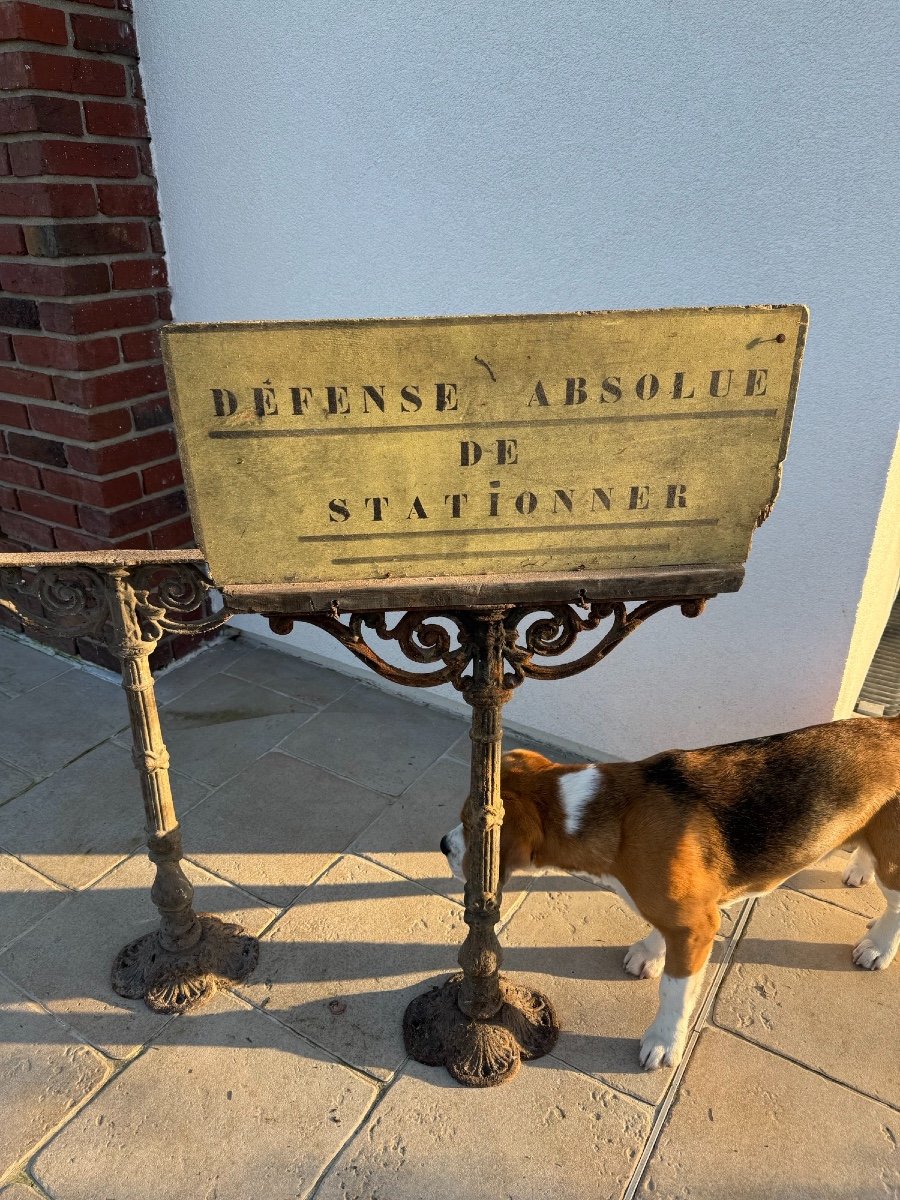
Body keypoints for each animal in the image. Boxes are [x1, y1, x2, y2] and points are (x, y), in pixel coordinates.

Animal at [444, 715, 900, 1075]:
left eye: (469, 823)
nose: (443, 845)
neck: (611, 814)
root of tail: (891, 724)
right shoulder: (679, 918)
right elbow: (658, 931)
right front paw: (650, 951)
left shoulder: (696, 926)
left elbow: (674, 992)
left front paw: (664, 1041)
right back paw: (858, 869)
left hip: (895, 863)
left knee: (895, 904)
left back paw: (878, 946)